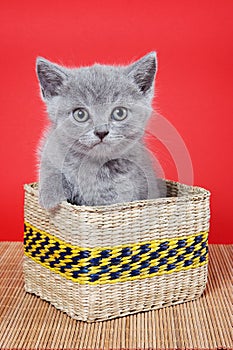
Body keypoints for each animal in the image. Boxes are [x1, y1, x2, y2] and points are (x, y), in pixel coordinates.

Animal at [36, 52, 162, 209]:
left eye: (119, 113)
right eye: (80, 114)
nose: (101, 132)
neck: (94, 164)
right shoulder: (51, 147)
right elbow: (50, 168)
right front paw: (50, 196)